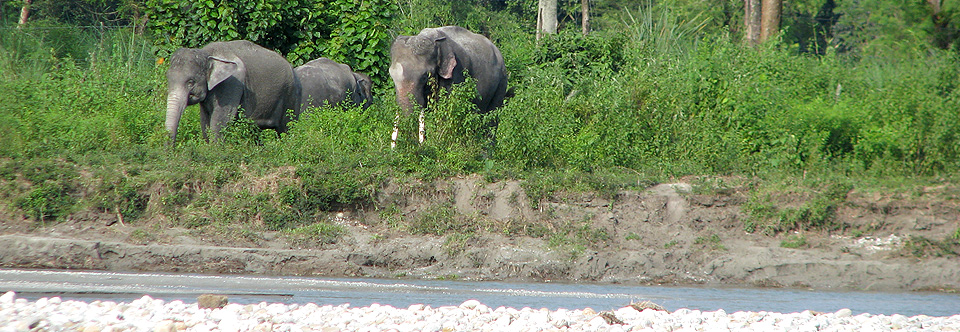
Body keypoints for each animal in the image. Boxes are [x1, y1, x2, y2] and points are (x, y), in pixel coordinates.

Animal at [163, 39, 300, 143]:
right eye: (168, 79)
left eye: (190, 82)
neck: (208, 54)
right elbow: (205, 121)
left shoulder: (231, 84)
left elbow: (221, 118)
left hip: (290, 94)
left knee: (287, 128)